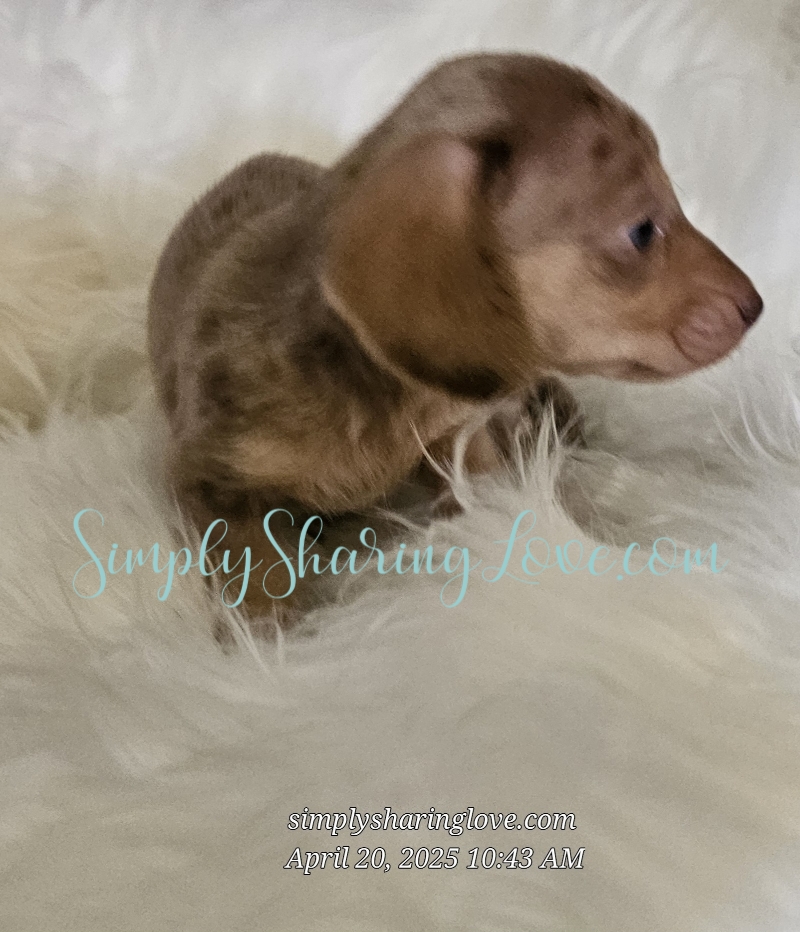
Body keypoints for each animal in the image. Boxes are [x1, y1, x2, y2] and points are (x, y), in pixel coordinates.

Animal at [147, 52, 763, 620]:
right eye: (641, 231)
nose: (756, 307)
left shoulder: (455, 434)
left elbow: (480, 480)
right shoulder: (210, 474)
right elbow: (250, 558)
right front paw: (274, 633)